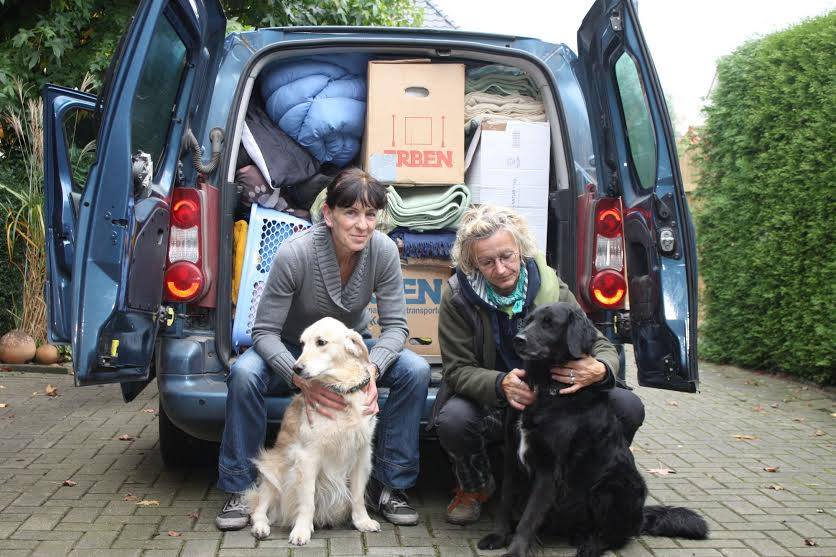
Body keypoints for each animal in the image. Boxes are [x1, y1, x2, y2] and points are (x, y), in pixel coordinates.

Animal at [248, 317, 380, 545]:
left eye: (321, 342)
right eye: (302, 344)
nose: (296, 368)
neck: (341, 390)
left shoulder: (362, 455)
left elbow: (357, 495)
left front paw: (362, 521)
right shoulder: (307, 457)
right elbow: (307, 499)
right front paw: (301, 530)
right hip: (273, 474)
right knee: (259, 509)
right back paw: (261, 528)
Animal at [478, 302, 708, 557]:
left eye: (549, 323)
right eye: (527, 321)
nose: (518, 340)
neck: (545, 388)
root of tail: (640, 517)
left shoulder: (549, 471)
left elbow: (528, 518)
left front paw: (515, 551)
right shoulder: (512, 457)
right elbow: (505, 502)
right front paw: (498, 536)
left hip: (613, 487)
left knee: (617, 536)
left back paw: (591, 546)